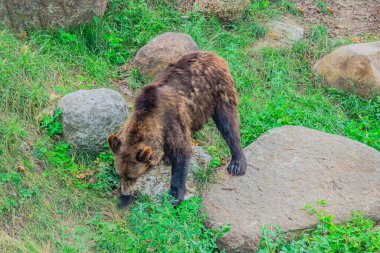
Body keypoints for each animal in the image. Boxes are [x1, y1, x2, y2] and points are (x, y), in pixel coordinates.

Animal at [108, 51, 248, 208]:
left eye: (133, 176)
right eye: (120, 174)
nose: (125, 193)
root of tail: (213, 54)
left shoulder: (173, 121)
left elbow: (182, 155)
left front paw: (174, 196)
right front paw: (167, 157)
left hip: (218, 92)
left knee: (228, 123)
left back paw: (237, 163)